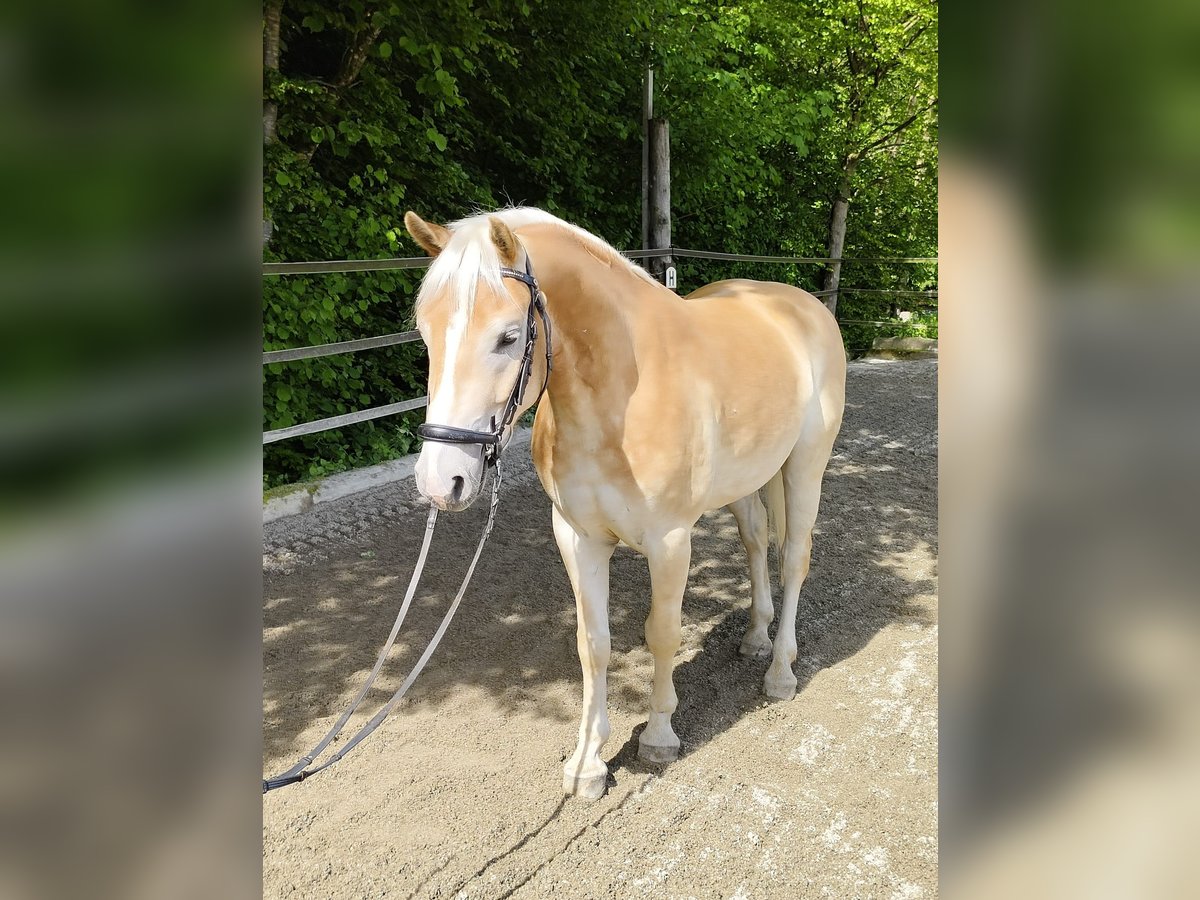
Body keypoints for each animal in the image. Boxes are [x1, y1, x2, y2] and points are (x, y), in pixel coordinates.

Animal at [403, 207, 844, 801]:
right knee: (755, 542)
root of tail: (801, 305)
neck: (618, 400)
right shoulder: (577, 537)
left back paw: (779, 672)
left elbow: (662, 634)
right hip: (747, 481)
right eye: (426, 333)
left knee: (794, 557)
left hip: (805, 467)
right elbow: (594, 644)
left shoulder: (671, 542)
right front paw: (587, 763)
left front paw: (658, 737)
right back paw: (755, 638)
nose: (439, 480)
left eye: (508, 337)